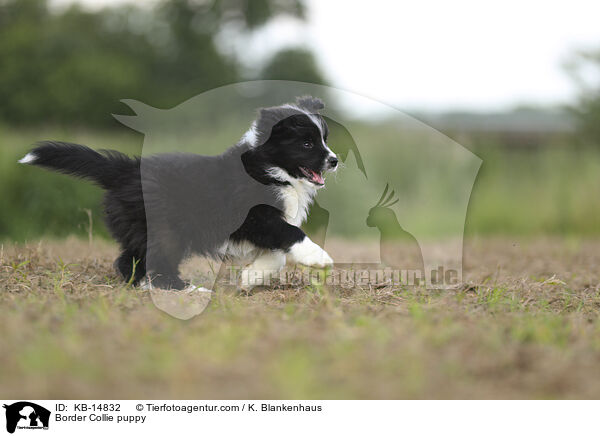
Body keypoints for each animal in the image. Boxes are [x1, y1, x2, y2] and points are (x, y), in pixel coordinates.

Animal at [19, 97, 338, 292]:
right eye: (307, 144)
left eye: (324, 139)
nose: (334, 161)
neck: (271, 168)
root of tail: (127, 170)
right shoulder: (255, 217)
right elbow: (291, 234)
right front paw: (319, 257)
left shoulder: (265, 225)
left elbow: (279, 253)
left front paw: (251, 276)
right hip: (165, 228)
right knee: (156, 263)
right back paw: (188, 290)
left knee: (129, 261)